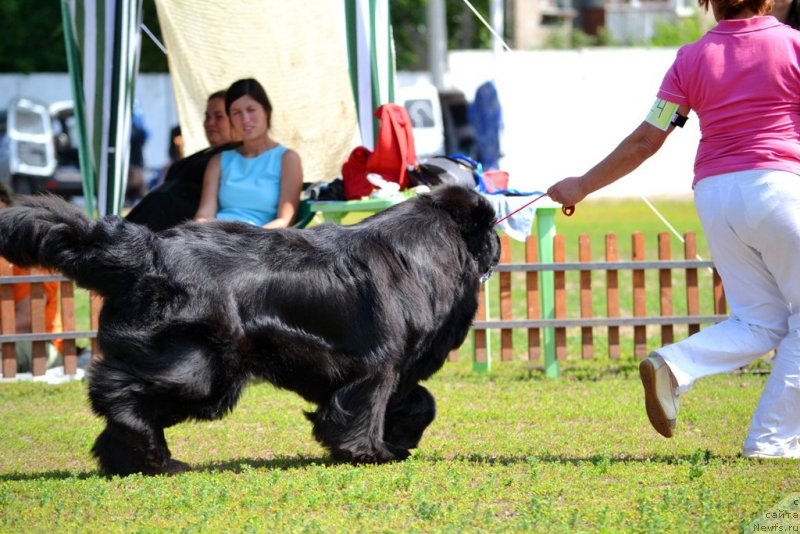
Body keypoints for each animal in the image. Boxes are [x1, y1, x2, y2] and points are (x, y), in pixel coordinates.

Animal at [0, 185, 500, 478]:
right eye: (490, 228)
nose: (497, 243)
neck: (423, 254)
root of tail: (147, 250)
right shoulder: (377, 363)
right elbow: (367, 404)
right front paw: (368, 451)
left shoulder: (400, 368)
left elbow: (421, 401)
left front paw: (400, 439)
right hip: (203, 368)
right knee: (120, 391)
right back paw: (151, 454)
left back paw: (136, 461)